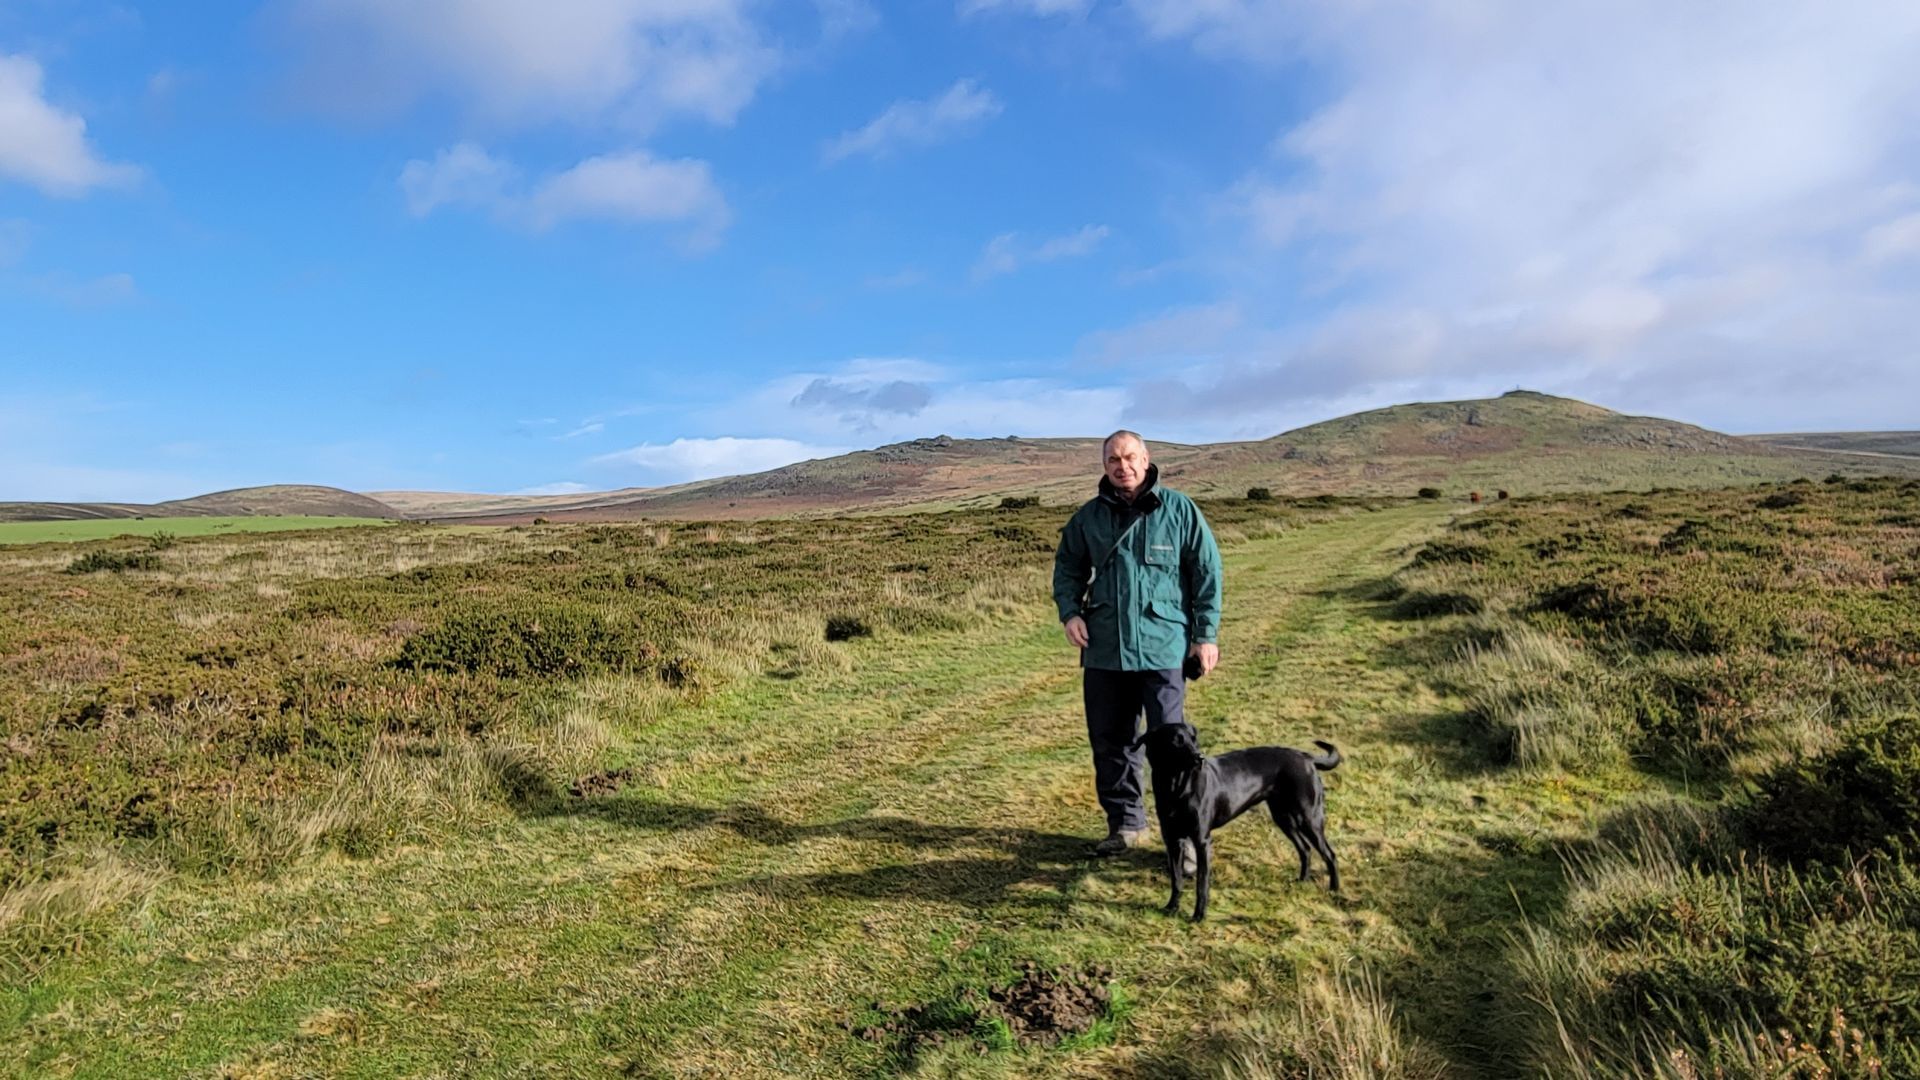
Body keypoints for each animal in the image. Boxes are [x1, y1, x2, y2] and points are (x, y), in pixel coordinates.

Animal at [1128, 722, 1344, 914]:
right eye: (1176, 741)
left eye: (1194, 739)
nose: (1200, 757)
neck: (1176, 787)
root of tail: (1306, 757)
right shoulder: (1172, 840)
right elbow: (1176, 879)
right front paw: (1172, 907)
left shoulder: (1202, 841)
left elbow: (1201, 884)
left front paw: (1199, 915)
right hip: (1283, 817)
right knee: (1305, 849)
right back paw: (1302, 881)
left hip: (1310, 817)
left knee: (1330, 854)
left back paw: (1334, 890)